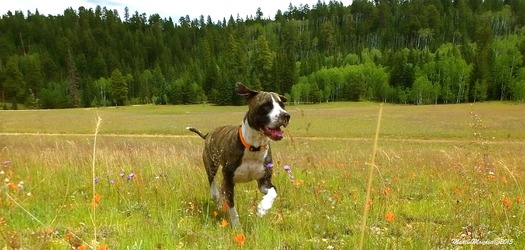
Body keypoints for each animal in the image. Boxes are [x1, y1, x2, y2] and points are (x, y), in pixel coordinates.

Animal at [186, 82, 288, 227]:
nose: (286, 115)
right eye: (266, 105)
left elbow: (273, 192)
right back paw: (216, 197)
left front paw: (263, 207)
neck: (254, 147)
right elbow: (232, 207)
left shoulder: (264, 181)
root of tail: (209, 133)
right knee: (212, 183)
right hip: (211, 164)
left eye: (282, 105)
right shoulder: (229, 181)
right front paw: (236, 226)